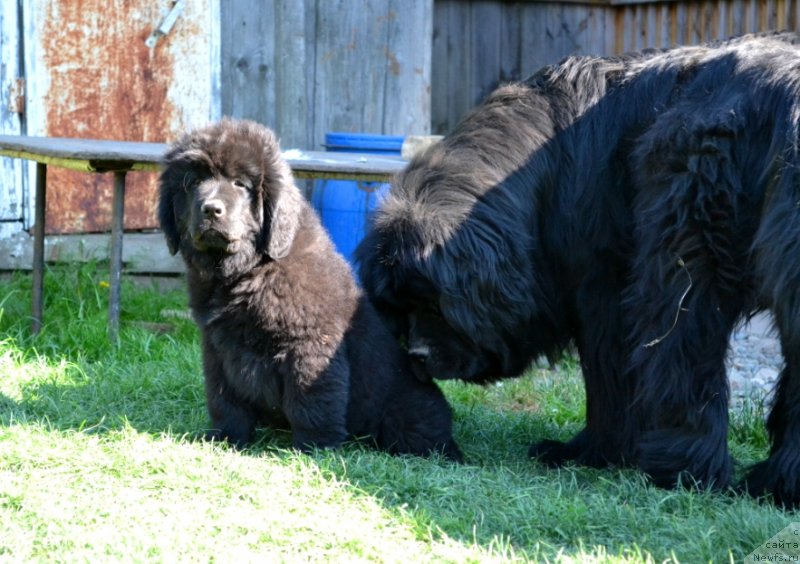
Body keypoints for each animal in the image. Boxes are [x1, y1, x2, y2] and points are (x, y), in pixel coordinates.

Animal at [158, 119, 462, 458]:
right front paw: (224, 439)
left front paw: (313, 450)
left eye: (240, 184)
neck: (249, 271)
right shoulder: (217, 349)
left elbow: (311, 403)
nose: (212, 209)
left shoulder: (310, 346)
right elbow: (225, 399)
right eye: (194, 181)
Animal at [360, 33, 800, 504]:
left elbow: (609, 373)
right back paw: (777, 483)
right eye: (401, 310)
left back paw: (683, 471)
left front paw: (590, 453)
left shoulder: (604, 285)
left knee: (684, 343)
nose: (417, 355)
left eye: (435, 307)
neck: (544, 169)